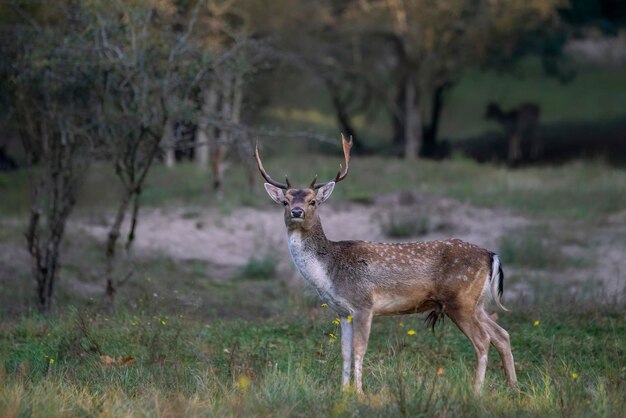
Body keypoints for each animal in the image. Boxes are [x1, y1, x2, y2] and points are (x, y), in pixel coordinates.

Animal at [255, 135, 516, 396]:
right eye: (285, 201)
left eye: (312, 201)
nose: (297, 211)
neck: (329, 272)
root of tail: (491, 255)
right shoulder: (342, 312)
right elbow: (345, 352)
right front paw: (343, 391)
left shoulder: (363, 304)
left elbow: (359, 350)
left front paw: (359, 392)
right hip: (476, 303)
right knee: (502, 334)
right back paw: (513, 388)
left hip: (460, 300)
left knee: (483, 341)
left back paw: (476, 391)